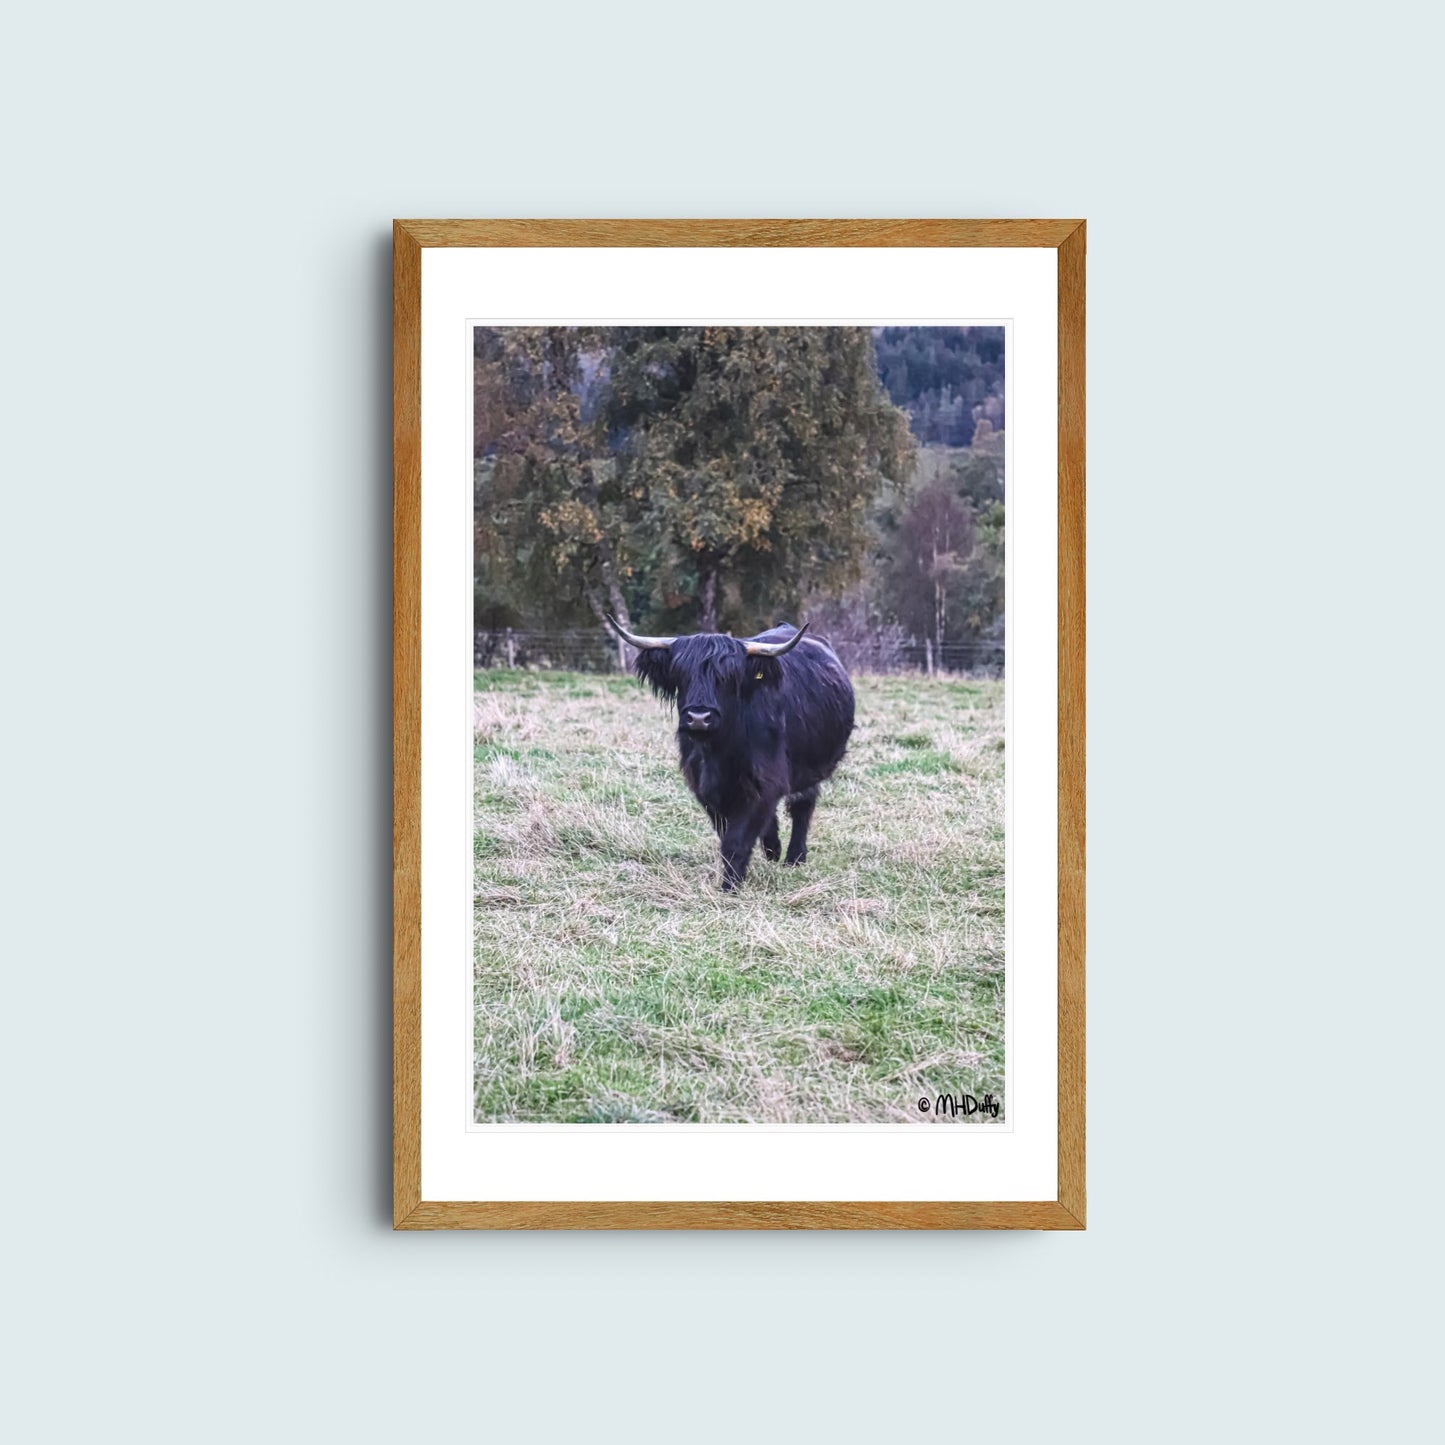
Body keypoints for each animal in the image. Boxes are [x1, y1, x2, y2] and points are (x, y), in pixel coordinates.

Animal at [605, 616, 855, 891]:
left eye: (727, 677)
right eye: (681, 673)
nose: (699, 717)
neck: (719, 751)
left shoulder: (764, 782)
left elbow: (737, 840)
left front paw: (730, 886)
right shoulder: (705, 788)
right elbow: (727, 833)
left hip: (812, 767)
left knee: (803, 806)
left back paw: (794, 857)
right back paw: (774, 851)